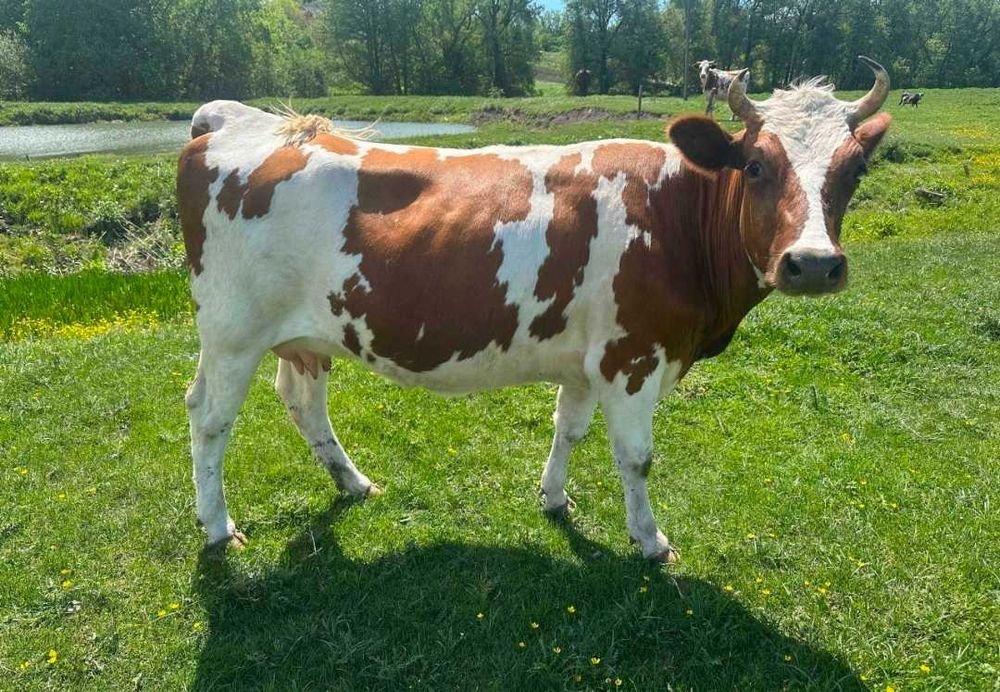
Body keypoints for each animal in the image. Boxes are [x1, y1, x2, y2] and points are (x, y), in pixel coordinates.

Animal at [178, 56, 891, 562]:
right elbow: (636, 457)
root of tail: (243, 121)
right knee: (209, 419)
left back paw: (353, 483)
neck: (675, 215)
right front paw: (650, 540)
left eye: (854, 169)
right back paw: (218, 526)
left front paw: (553, 499)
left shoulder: (589, 360)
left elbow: (567, 429)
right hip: (232, 332)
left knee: (301, 402)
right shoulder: (634, 357)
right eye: (755, 165)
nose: (813, 263)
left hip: (305, 333)